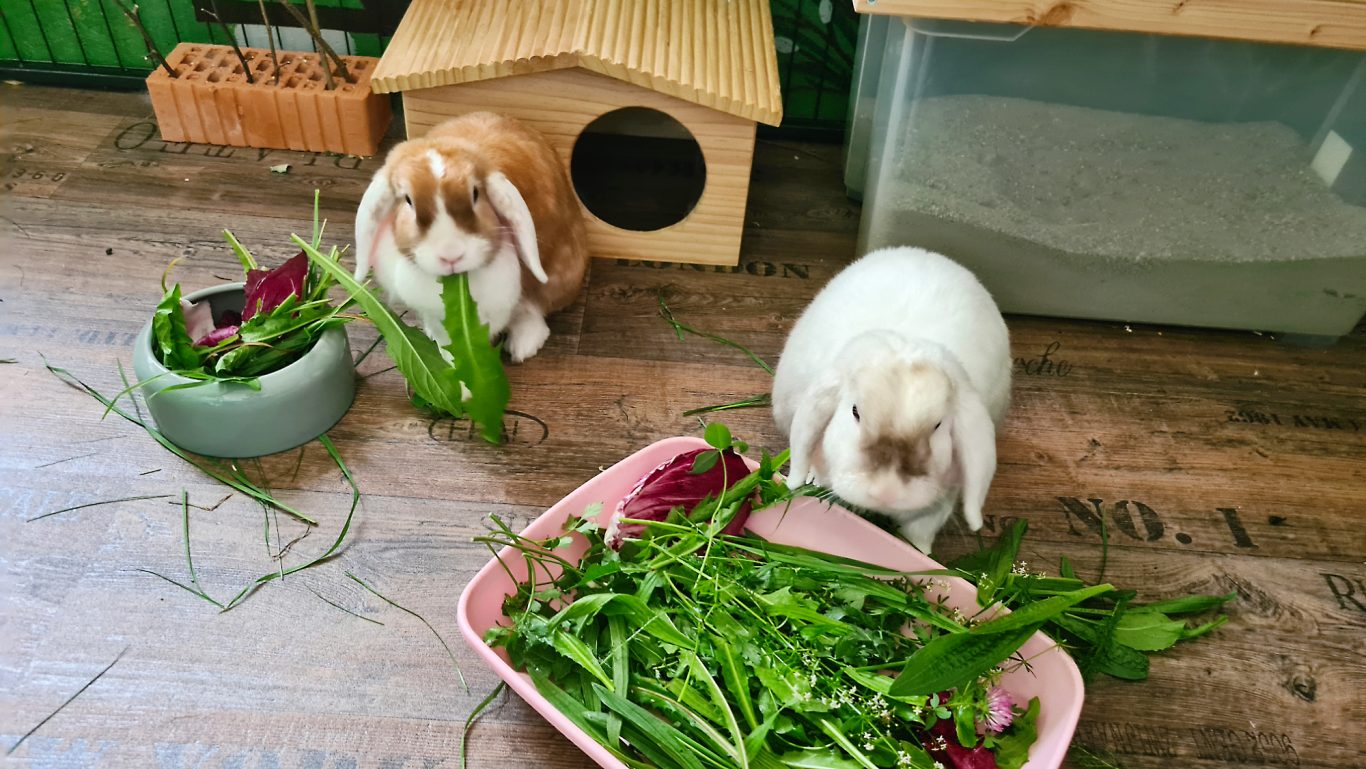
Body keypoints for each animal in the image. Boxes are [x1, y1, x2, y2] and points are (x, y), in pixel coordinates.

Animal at [353, 111, 589, 363]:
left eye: (475, 194)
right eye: (408, 200)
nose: (451, 255)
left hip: (560, 275)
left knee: (534, 308)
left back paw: (524, 346)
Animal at [771, 246, 1012, 554]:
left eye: (938, 426)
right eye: (855, 412)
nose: (887, 491)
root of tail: (925, 253)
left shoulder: (938, 502)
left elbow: (920, 533)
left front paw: (920, 554)